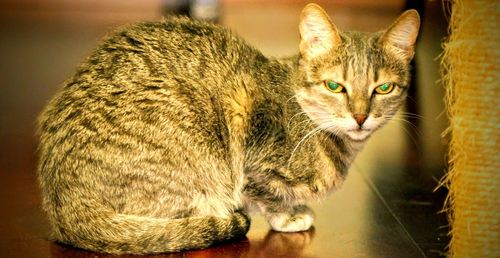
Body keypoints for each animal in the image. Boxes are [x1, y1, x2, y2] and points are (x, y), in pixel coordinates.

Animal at [37, 3, 420, 255]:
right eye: (335, 86)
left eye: (384, 88)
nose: (360, 117)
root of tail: (61, 206)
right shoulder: (253, 152)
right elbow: (268, 195)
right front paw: (289, 216)